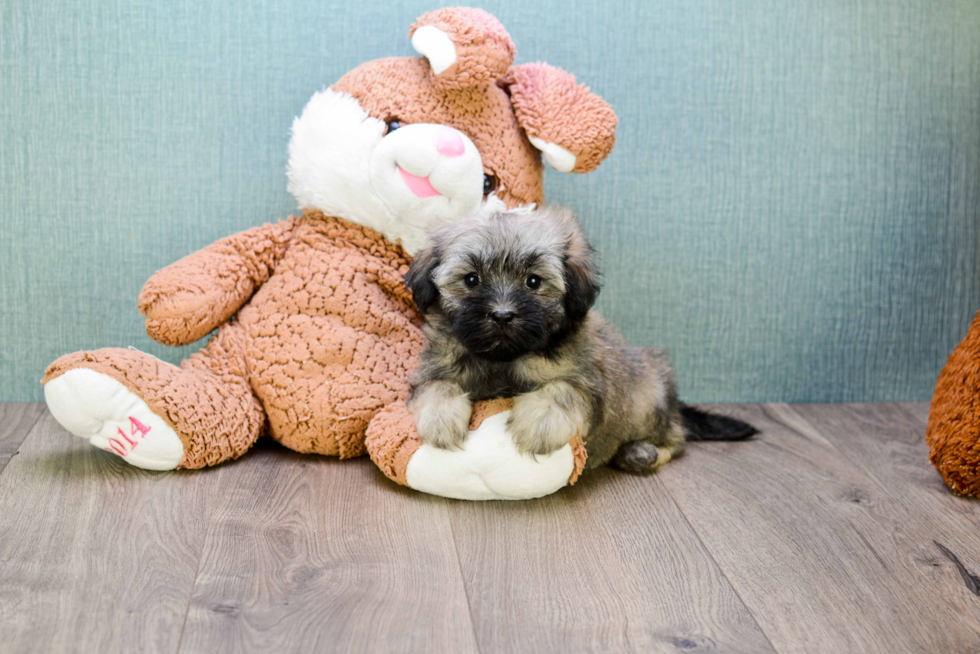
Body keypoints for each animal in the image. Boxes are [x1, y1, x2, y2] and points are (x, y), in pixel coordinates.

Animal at [402, 205, 756, 472]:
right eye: (472, 280)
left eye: (533, 281)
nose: (502, 315)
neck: (505, 358)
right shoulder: (433, 369)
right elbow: (436, 387)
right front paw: (440, 418)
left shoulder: (589, 384)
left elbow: (561, 390)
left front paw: (541, 421)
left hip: (651, 400)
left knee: (676, 439)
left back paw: (641, 452)